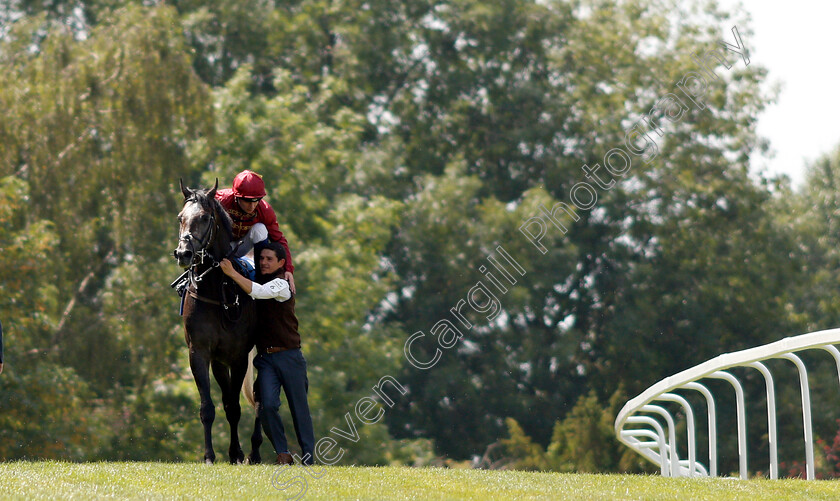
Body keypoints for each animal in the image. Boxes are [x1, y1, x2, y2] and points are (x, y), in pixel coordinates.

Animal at [171, 178, 260, 462]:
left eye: (204, 217)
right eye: (181, 217)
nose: (183, 253)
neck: (216, 289)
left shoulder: (239, 355)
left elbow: (235, 406)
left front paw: (237, 453)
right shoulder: (200, 352)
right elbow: (209, 407)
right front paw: (210, 455)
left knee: (259, 397)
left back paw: (255, 450)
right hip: (220, 362)